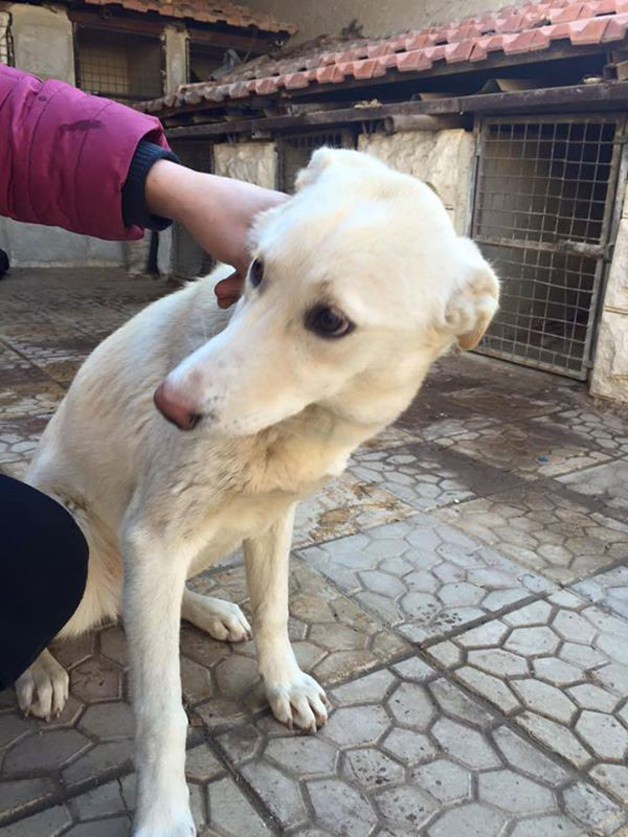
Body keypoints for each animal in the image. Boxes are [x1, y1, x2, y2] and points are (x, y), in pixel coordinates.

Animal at [17, 148, 499, 836]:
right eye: (258, 270)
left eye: (330, 321)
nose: (166, 405)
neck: (296, 425)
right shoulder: (154, 535)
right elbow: (162, 710)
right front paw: (164, 814)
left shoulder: (272, 518)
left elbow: (275, 611)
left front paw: (284, 684)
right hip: (82, 538)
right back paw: (40, 672)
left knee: (150, 601)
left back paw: (208, 611)